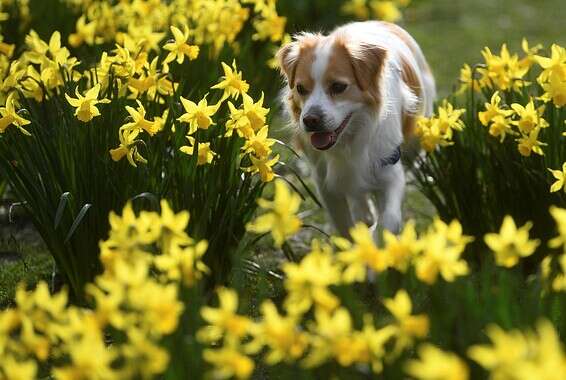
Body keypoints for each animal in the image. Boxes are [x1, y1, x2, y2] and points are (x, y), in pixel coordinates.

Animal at [278, 20, 438, 238]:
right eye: (300, 89)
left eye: (338, 87)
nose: (310, 120)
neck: (349, 139)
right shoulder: (325, 181)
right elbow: (344, 225)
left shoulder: (389, 168)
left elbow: (389, 221)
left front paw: (375, 241)